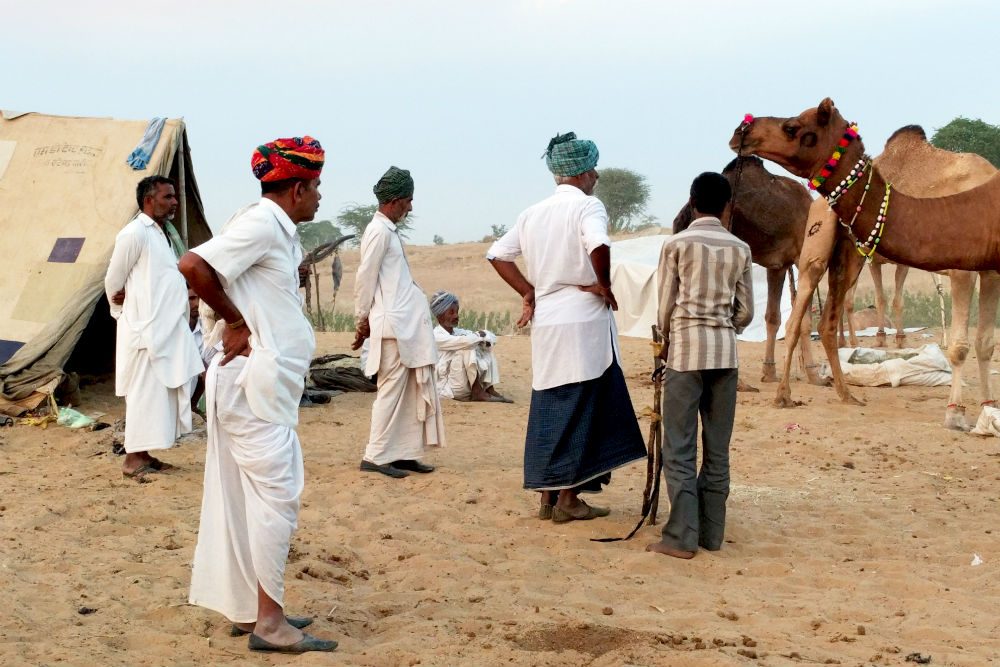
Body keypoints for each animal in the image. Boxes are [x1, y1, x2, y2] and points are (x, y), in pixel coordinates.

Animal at [672, 157, 820, 386]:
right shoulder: (800, 256)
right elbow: (803, 319)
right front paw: (815, 375)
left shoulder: (778, 264)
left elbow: (773, 317)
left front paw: (769, 372)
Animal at [728, 102, 1000, 430]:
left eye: (792, 127)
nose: (741, 130)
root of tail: (814, 201)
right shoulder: (961, 269)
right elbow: (960, 346)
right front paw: (956, 414)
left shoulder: (991, 271)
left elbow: (985, 342)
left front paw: (988, 408)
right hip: (816, 253)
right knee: (797, 317)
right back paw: (784, 393)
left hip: (847, 257)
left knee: (826, 322)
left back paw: (845, 393)